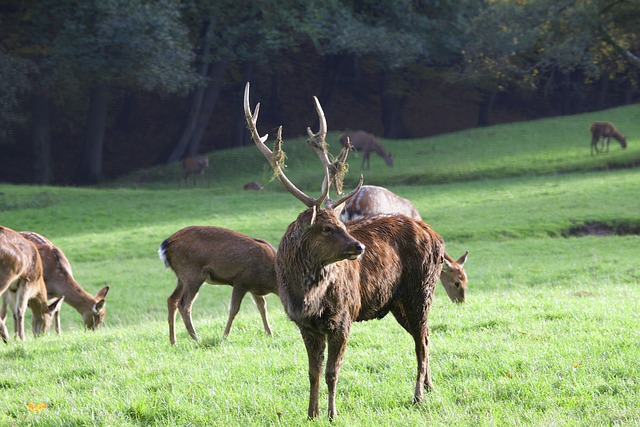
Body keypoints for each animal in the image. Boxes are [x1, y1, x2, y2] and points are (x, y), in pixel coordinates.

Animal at [245, 83, 444, 422]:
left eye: (340, 222)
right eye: (326, 227)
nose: (359, 247)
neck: (308, 298)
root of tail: (437, 237)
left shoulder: (343, 317)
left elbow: (331, 372)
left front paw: (331, 413)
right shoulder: (305, 325)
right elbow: (312, 372)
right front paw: (311, 413)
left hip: (420, 290)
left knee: (422, 342)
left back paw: (418, 395)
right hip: (397, 302)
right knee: (425, 337)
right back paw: (430, 387)